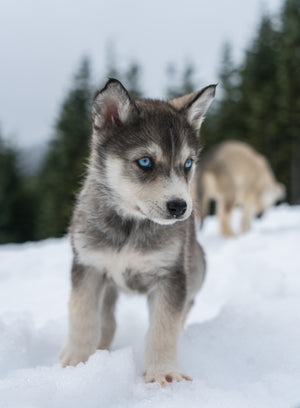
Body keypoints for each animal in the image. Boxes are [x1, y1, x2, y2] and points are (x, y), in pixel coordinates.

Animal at [60, 79, 216, 386]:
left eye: (188, 164)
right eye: (145, 162)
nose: (180, 206)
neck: (130, 226)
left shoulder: (171, 275)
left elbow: (163, 328)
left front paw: (163, 372)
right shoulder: (88, 265)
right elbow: (82, 315)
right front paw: (77, 362)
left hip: (197, 266)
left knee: (185, 308)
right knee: (106, 319)